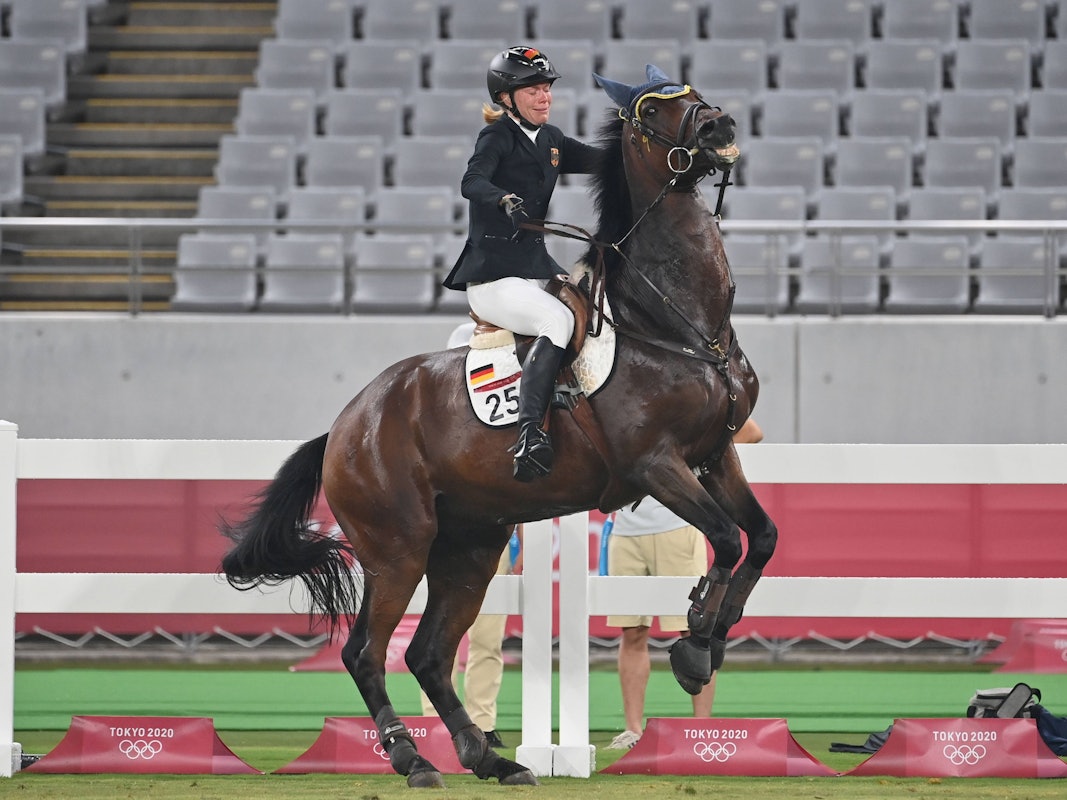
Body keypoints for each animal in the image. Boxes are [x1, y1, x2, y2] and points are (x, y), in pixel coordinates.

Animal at [221, 66, 778, 788]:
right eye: (651, 110)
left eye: (691, 92)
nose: (720, 127)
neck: (676, 323)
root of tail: (348, 423)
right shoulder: (655, 464)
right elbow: (725, 538)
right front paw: (693, 644)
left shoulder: (715, 455)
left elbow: (759, 537)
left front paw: (716, 632)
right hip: (398, 549)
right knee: (367, 652)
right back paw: (412, 759)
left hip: (469, 548)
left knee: (427, 653)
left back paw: (489, 757)